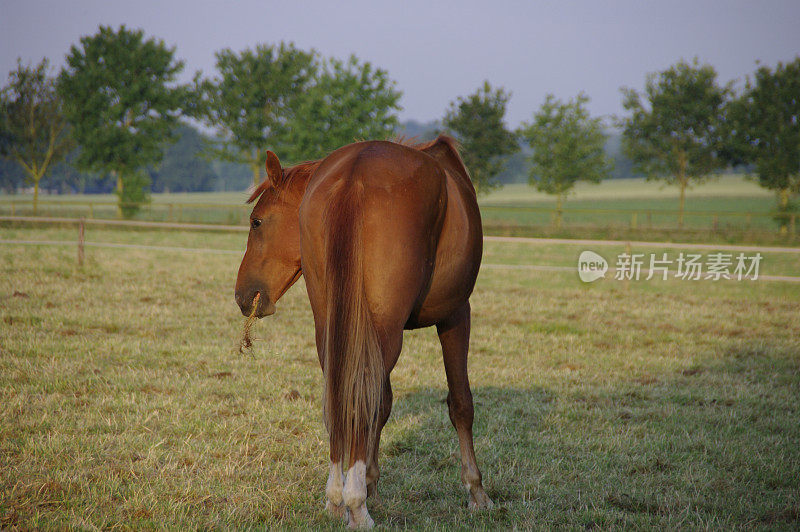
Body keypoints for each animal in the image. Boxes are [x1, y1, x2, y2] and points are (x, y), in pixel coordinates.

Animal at [234, 137, 490, 528]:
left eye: (256, 222)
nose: (242, 295)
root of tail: (354, 175)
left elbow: (381, 405)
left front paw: (371, 483)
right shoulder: (457, 313)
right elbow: (460, 404)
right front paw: (476, 491)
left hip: (332, 328)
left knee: (340, 399)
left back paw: (336, 499)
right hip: (386, 333)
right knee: (358, 401)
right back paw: (355, 504)